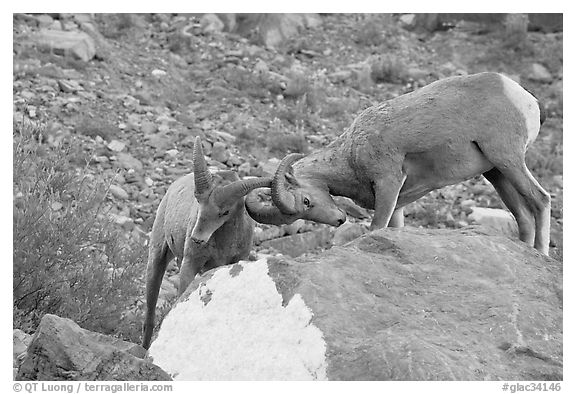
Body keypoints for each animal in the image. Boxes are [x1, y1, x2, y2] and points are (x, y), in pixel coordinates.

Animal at [143, 137, 272, 350]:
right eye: (198, 201)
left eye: (225, 212)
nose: (197, 238)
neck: (223, 245)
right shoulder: (190, 263)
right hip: (157, 257)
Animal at [245, 71, 552, 255]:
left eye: (306, 201)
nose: (339, 219)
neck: (351, 153)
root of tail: (525, 98)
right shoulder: (397, 204)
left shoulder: (388, 185)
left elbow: (375, 229)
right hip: (496, 173)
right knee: (524, 217)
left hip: (508, 160)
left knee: (541, 199)